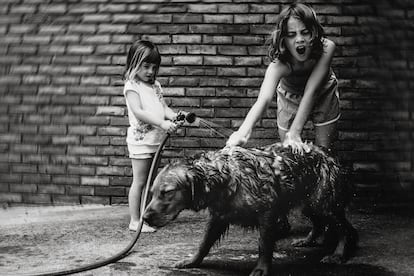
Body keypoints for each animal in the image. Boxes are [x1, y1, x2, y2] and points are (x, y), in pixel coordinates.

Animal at [144, 142, 358, 276]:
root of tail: (331, 153)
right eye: (152, 193)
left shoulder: (268, 213)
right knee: (320, 223)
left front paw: (262, 268)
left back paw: (338, 254)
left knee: (347, 229)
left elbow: (264, 244)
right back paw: (308, 240)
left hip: (324, 203)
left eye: (167, 192)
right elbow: (204, 243)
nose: (145, 217)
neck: (227, 177)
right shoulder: (218, 216)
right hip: (310, 204)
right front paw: (192, 261)